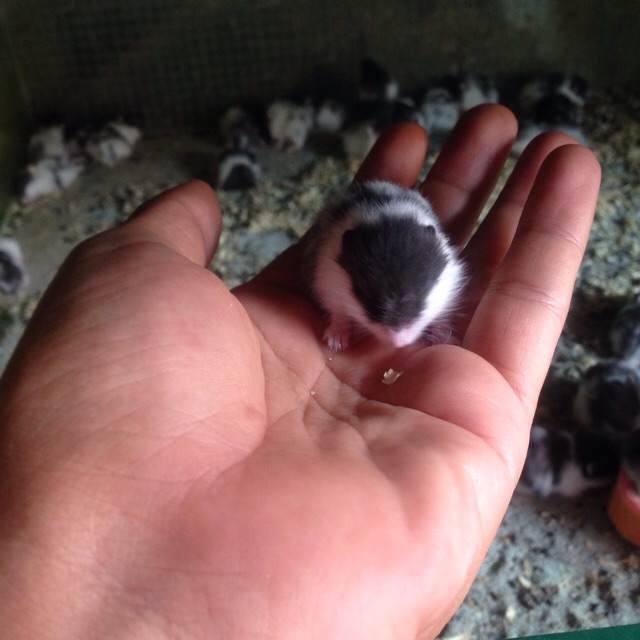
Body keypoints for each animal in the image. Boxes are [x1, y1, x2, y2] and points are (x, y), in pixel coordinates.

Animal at [306, 180, 465, 351]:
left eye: (423, 287)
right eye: (364, 290)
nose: (398, 344)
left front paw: (450, 340)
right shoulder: (328, 284)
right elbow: (339, 313)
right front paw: (335, 344)